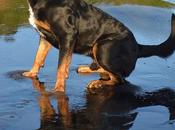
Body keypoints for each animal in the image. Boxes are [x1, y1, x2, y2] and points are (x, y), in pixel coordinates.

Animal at [22, 0, 175, 91]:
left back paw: (97, 83)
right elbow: (38, 57)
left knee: (119, 79)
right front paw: (31, 73)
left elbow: (60, 66)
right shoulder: (44, 37)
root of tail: (138, 46)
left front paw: (58, 89)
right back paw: (87, 69)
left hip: (103, 47)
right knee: (107, 72)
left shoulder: (67, 35)